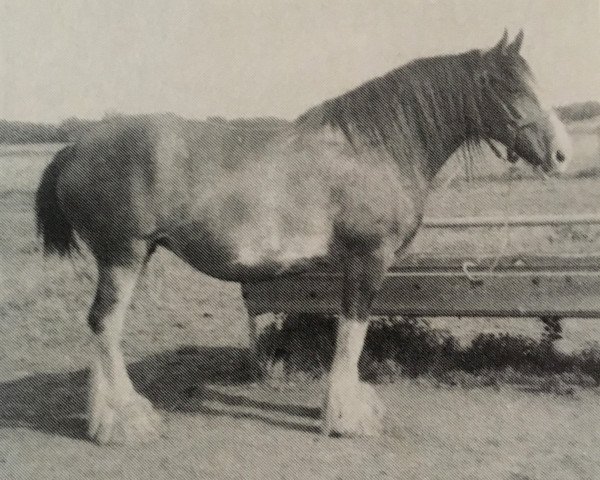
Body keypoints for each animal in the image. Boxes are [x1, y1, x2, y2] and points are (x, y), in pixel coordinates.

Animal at [35, 29, 568, 442]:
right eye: (507, 85)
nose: (561, 154)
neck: (374, 146)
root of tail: (76, 146)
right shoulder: (367, 259)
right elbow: (353, 330)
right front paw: (345, 417)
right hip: (123, 255)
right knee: (105, 325)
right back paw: (127, 422)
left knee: (103, 328)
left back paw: (102, 418)